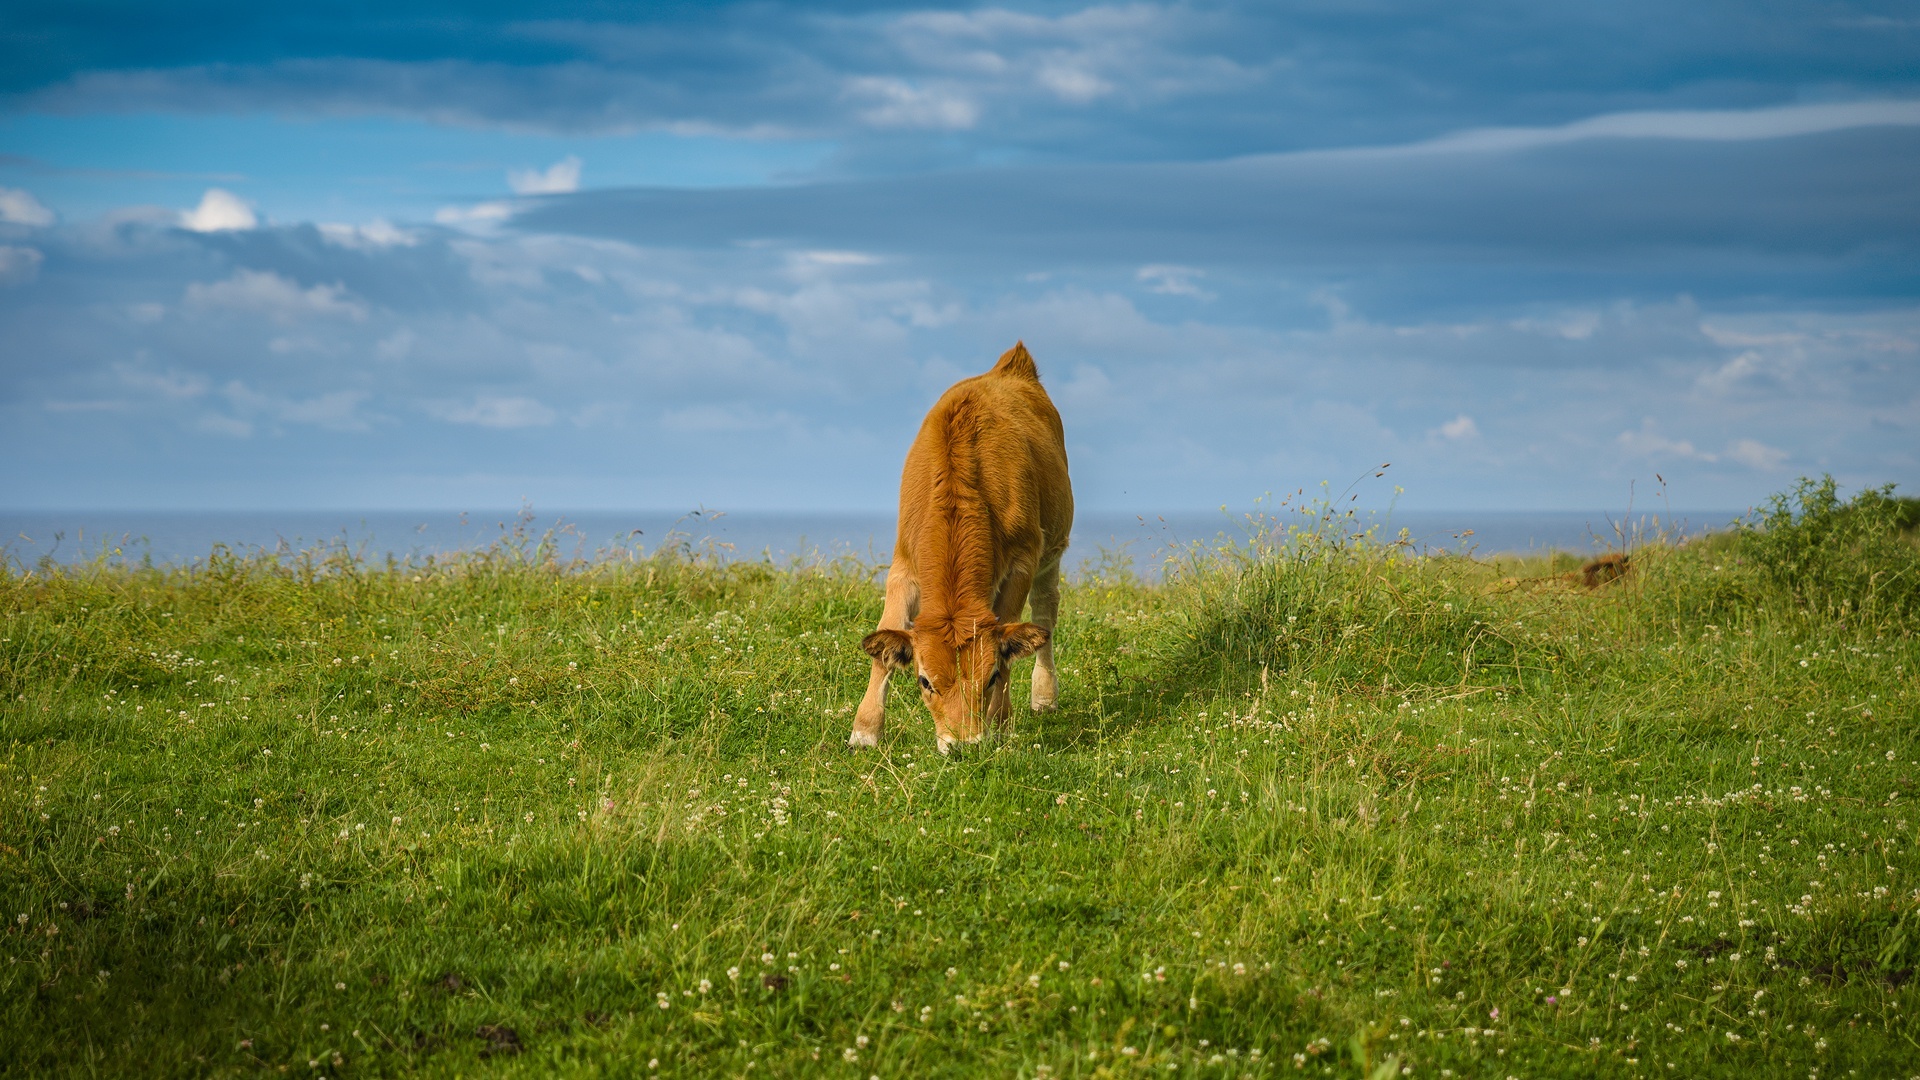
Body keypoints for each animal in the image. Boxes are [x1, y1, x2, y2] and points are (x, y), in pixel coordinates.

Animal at [850, 342, 1074, 754]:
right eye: (924, 681)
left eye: (990, 677)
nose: (963, 745)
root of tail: (1011, 366)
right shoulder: (904, 564)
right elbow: (886, 638)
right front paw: (866, 730)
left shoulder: (1022, 561)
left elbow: (1010, 636)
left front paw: (1000, 724)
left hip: (1051, 551)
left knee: (1045, 613)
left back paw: (1044, 695)